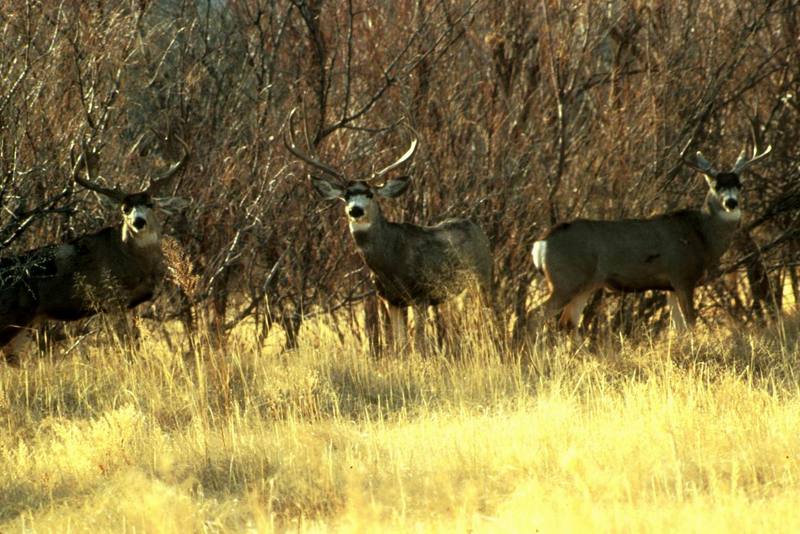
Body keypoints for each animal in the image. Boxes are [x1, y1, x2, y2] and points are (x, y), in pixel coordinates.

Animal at [0, 139, 189, 364]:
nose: (138, 221)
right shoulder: (111, 299)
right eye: (125, 209)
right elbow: (126, 345)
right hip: (11, 317)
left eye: (151, 204)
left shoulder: (131, 304)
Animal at [282, 111, 494, 356]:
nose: (356, 210)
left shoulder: (420, 293)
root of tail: (478, 228)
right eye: (346, 195)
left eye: (370, 194)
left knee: (491, 318)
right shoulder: (390, 299)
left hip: (483, 276)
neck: (390, 262)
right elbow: (399, 345)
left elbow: (419, 343)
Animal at [532, 142, 768, 336]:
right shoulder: (683, 275)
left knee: (567, 323)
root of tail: (540, 244)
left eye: (740, 185)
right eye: (716, 186)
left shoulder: (669, 286)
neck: (701, 236)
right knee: (538, 316)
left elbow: (679, 328)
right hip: (565, 280)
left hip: (586, 284)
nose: (731, 203)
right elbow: (690, 323)